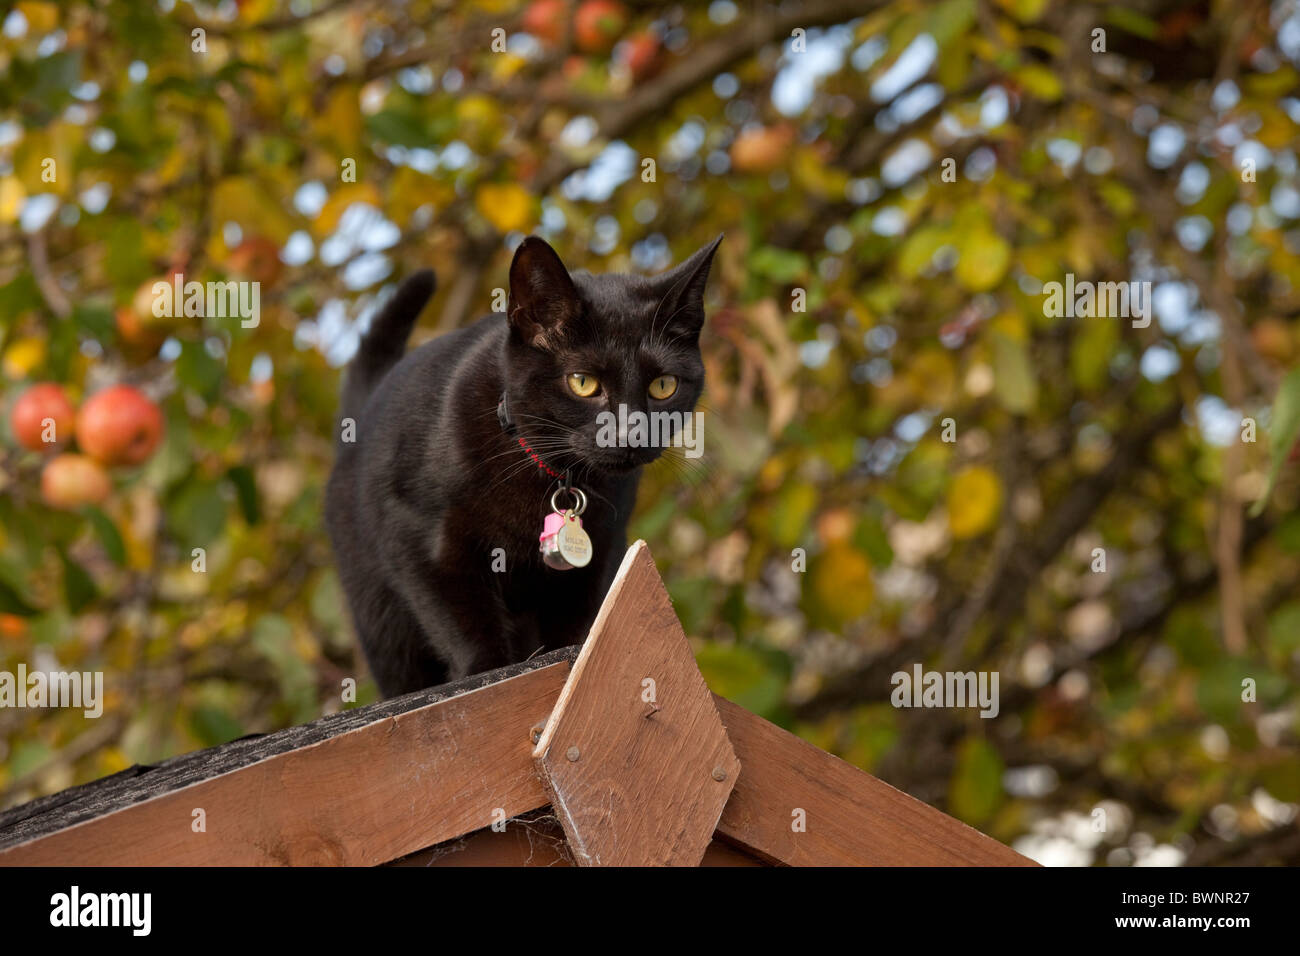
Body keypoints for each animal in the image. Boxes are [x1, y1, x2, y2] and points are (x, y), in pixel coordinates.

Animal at [321, 231, 717, 697]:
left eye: (663, 386)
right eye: (583, 383)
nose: (629, 435)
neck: (547, 476)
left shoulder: (599, 555)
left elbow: (577, 631)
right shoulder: (419, 544)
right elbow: (464, 624)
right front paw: (487, 674)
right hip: (385, 631)